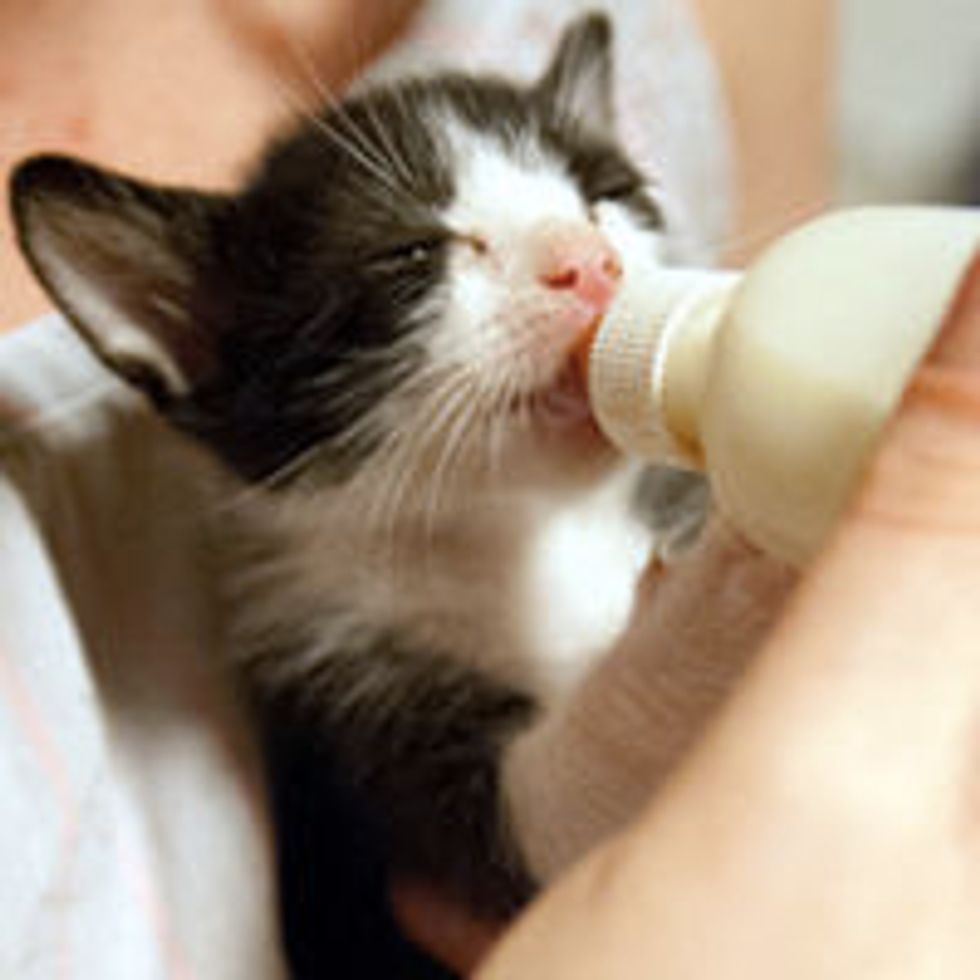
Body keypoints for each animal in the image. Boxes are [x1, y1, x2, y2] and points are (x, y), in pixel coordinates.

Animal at [9, 13, 720, 920]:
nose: (591, 260)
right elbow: (586, 785)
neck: (531, 537)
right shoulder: (357, 712)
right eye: (410, 254)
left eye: (607, 197)